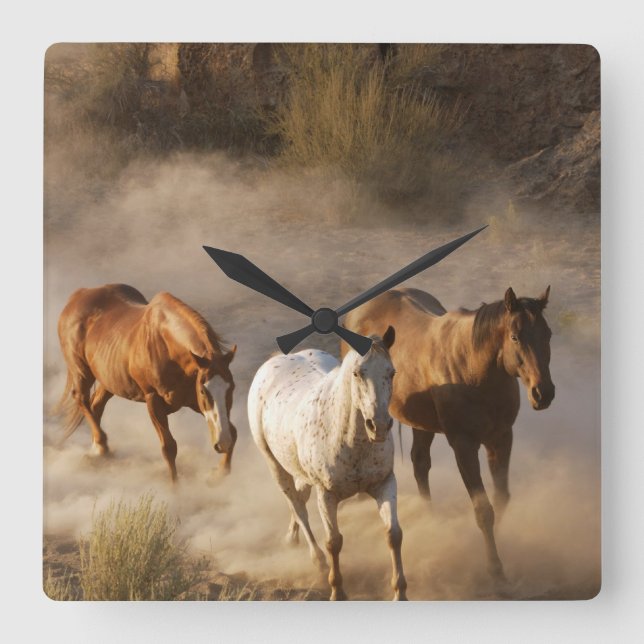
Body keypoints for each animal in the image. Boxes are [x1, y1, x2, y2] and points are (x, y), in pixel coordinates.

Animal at [55, 283, 237, 482]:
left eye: (232, 388)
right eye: (204, 391)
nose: (222, 442)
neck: (166, 346)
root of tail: (78, 295)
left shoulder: (193, 401)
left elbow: (233, 431)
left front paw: (219, 473)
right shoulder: (154, 400)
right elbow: (169, 447)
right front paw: (175, 487)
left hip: (108, 379)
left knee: (96, 405)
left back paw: (97, 450)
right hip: (81, 370)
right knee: (81, 398)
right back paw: (101, 446)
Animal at [247, 327, 407, 600]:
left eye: (391, 372)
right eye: (357, 373)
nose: (379, 426)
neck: (350, 441)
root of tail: (275, 360)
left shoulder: (385, 483)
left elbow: (393, 534)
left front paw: (400, 593)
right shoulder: (327, 494)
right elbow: (334, 542)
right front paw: (337, 591)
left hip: (299, 471)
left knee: (299, 498)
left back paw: (291, 537)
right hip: (275, 465)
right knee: (298, 506)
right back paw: (317, 560)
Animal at [342, 286, 554, 582]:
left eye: (548, 334)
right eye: (515, 336)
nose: (543, 393)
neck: (475, 370)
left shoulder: (501, 439)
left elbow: (501, 499)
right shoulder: (463, 446)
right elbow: (483, 509)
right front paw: (494, 567)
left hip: (421, 424)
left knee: (420, 463)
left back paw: (430, 516)